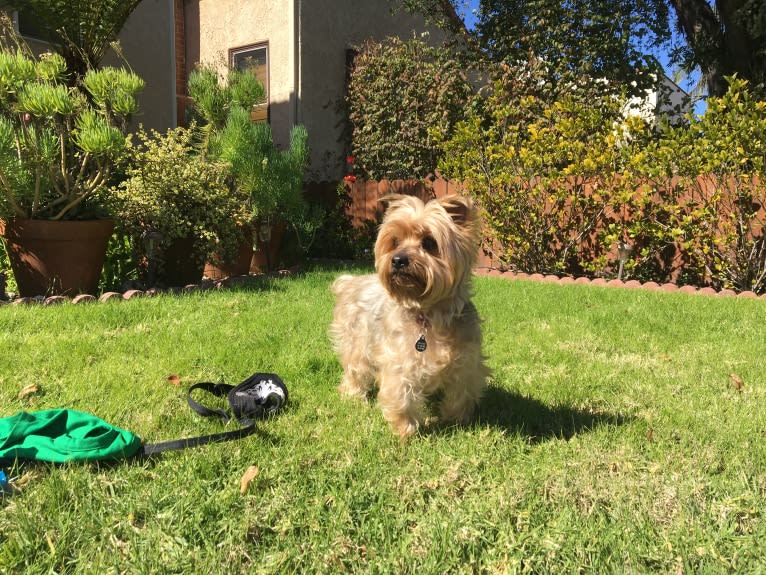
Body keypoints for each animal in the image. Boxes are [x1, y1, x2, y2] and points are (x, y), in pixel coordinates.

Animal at [332, 194, 492, 436]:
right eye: (395, 242)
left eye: (429, 243)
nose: (398, 260)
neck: (430, 315)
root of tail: (351, 281)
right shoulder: (400, 362)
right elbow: (402, 397)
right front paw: (406, 431)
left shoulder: (466, 362)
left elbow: (461, 393)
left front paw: (456, 421)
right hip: (356, 341)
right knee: (355, 369)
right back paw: (355, 397)